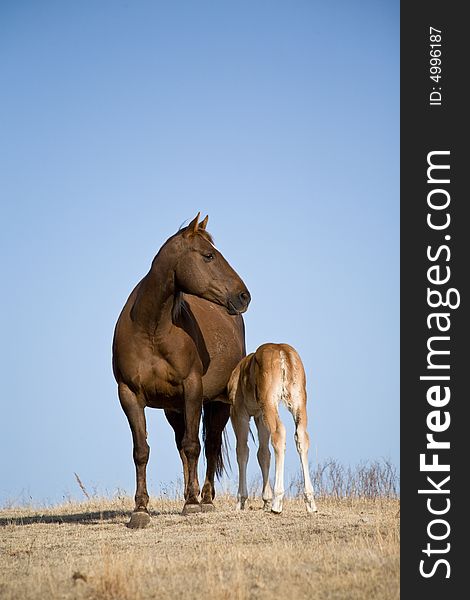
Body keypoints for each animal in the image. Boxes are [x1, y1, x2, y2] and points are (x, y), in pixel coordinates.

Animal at [112, 213, 250, 528]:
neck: (151, 329)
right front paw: (140, 510)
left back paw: (205, 499)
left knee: (209, 444)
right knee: (184, 447)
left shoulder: (192, 389)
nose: (244, 296)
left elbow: (193, 446)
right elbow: (141, 451)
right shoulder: (129, 395)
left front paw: (192, 503)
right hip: (173, 409)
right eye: (209, 255)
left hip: (217, 403)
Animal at [227, 344, 316, 512]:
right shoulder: (259, 416)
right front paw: (266, 500)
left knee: (279, 433)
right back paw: (310, 502)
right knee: (301, 436)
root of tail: (283, 353)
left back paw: (277, 502)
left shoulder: (238, 412)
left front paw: (240, 500)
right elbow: (263, 453)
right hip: (298, 401)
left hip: (269, 402)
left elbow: (242, 451)